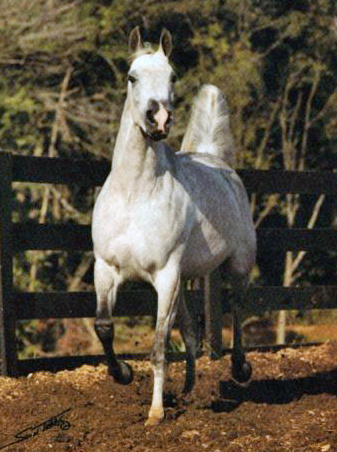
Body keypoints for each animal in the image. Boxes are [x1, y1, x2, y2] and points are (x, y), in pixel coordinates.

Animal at [92, 27, 255, 424]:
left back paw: (240, 369)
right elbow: (104, 326)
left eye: (173, 77)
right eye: (131, 77)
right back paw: (189, 390)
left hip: (237, 266)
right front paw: (122, 373)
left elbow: (158, 345)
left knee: (237, 311)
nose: (160, 118)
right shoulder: (106, 269)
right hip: (186, 281)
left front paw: (155, 413)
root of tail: (215, 160)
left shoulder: (165, 275)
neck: (135, 194)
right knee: (192, 332)